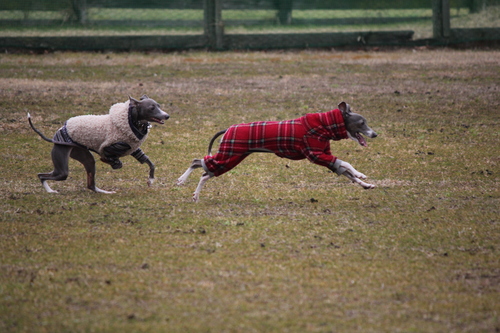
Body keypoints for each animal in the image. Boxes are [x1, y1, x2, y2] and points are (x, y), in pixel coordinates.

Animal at [29, 94, 170, 192]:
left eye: (158, 105)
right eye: (151, 108)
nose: (167, 115)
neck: (133, 123)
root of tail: (57, 135)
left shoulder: (134, 149)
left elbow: (150, 163)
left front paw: (151, 180)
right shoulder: (109, 147)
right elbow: (110, 157)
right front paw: (113, 162)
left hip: (85, 157)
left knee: (90, 185)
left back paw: (104, 192)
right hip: (62, 163)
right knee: (42, 176)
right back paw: (50, 191)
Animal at [178, 101, 376, 201]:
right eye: (361, 123)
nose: (375, 134)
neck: (323, 126)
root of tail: (228, 128)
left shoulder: (325, 157)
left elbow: (346, 172)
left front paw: (365, 184)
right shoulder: (316, 154)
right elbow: (347, 163)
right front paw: (361, 174)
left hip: (231, 157)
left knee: (204, 170)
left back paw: (192, 191)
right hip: (229, 154)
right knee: (199, 164)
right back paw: (184, 183)